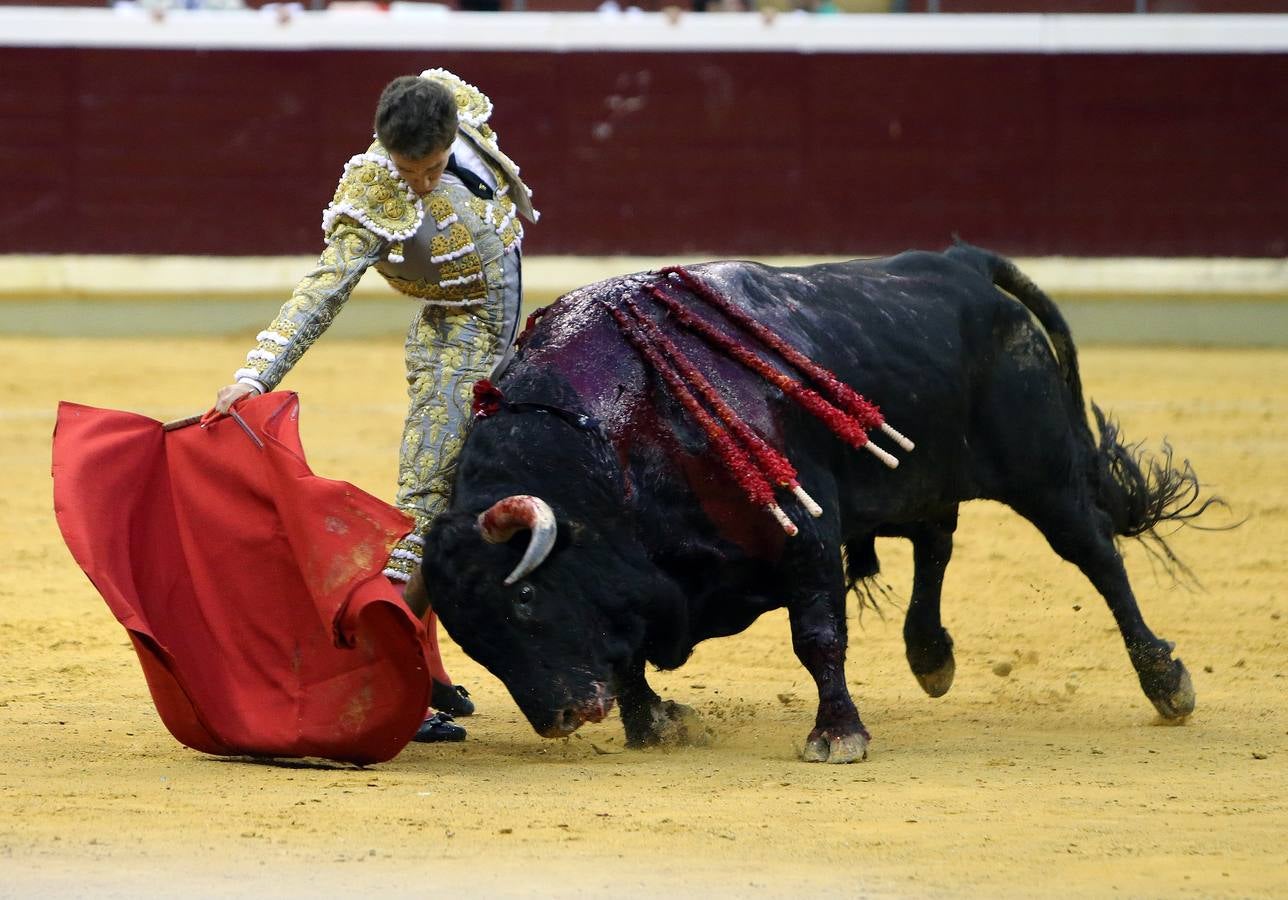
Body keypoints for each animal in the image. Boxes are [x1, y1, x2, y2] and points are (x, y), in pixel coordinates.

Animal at [419, 243, 1205, 762]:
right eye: (470, 638)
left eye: (524, 600)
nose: (558, 718)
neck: (609, 439)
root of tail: (959, 261)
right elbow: (625, 650)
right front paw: (654, 725)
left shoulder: (806, 533)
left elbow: (817, 635)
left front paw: (837, 735)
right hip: (922, 472)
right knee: (936, 539)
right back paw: (930, 655)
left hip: (1041, 469)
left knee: (1095, 552)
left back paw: (1165, 681)